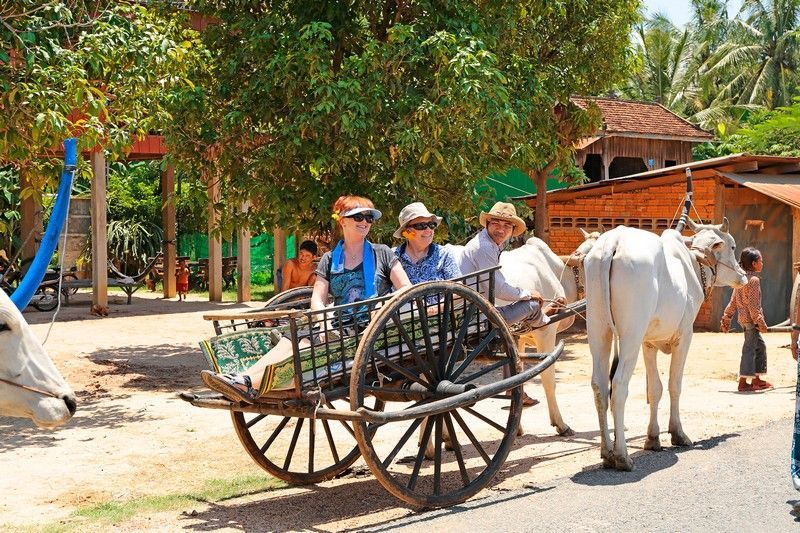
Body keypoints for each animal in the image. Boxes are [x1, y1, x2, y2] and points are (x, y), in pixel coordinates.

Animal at [584, 219, 748, 470]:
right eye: (732, 246)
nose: (743, 276)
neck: (694, 263)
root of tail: (613, 241)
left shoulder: (648, 343)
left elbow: (655, 389)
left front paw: (653, 438)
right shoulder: (684, 336)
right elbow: (674, 385)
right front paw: (678, 434)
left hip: (598, 330)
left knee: (599, 386)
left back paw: (606, 453)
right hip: (630, 335)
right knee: (619, 385)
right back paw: (622, 456)